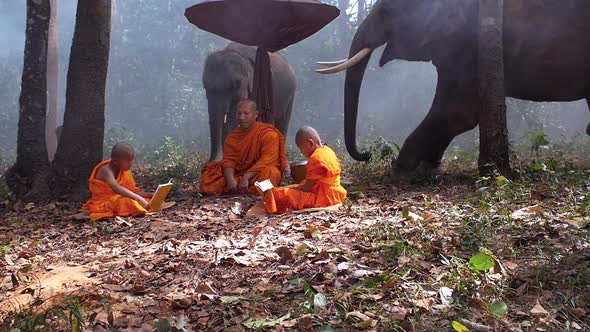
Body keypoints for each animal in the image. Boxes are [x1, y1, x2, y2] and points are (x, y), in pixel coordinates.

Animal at [320, 0, 590, 175]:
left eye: (386, 11)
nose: (367, 154)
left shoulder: (467, 43)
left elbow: (458, 112)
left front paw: (401, 168)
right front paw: (428, 166)